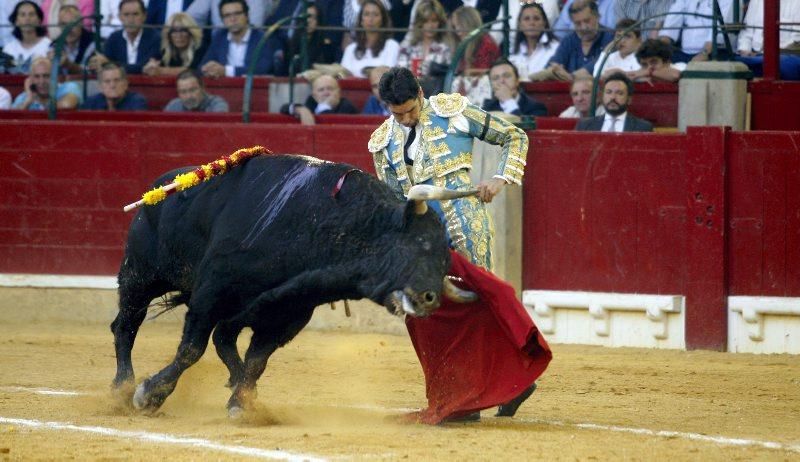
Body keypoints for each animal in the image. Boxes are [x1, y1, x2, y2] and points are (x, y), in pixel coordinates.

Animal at [110, 154, 468, 416]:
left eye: (445, 261)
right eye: (420, 243)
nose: (430, 298)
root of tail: (159, 187)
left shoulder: (286, 316)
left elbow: (257, 361)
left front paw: (242, 403)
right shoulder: (209, 296)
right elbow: (190, 351)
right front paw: (150, 395)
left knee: (223, 339)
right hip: (140, 275)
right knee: (126, 325)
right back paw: (122, 388)